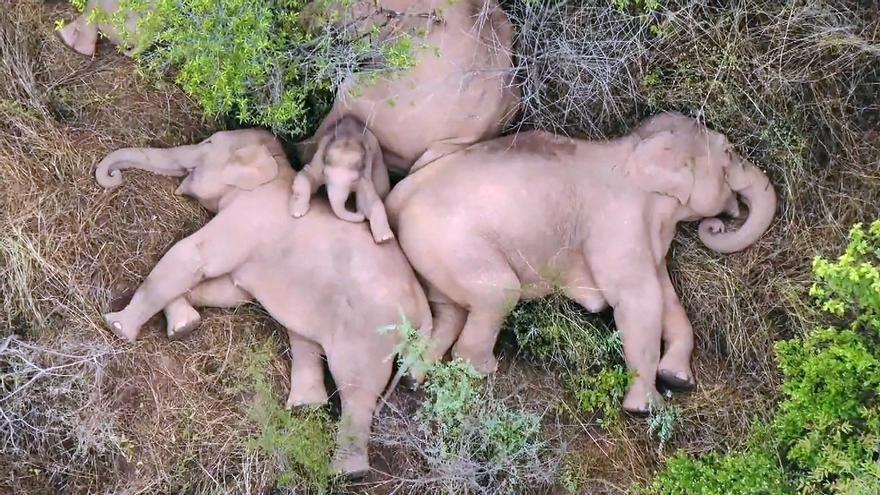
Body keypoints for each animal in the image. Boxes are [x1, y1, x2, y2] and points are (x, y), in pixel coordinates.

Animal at [94, 129, 434, 476]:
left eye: (207, 144)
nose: (114, 177)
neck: (276, 169)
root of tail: (423, 309)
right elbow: (229, 291)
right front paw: (184, 325)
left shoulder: (246, 217)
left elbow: (192, 256)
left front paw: (118, 326)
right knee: (307, 340)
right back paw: (305, 407)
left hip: (370, 331)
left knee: (356, 385)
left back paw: (347, 472)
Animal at [289, 115, 394, 244]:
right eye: (325, 173)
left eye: (354, 180)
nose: (360, 214)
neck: (347, 139)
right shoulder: (318, 159)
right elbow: (307, 175)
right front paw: (297, 213)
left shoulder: (365, 175)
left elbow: (371, 198)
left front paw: (385, 238)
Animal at [385, 112, 777, 414]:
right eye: (729, 153)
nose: (717, 224)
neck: (635, 148)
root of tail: (398, 196)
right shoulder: (616, 225)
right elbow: (639, 300)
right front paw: (645, 409)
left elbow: (667, 299)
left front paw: (677, 380)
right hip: (450, 243)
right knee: (497, 294)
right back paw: (484, 371)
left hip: (433, 255)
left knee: (448, 311)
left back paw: (414, 379)